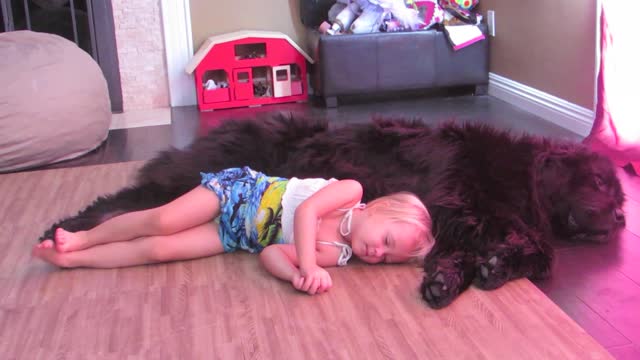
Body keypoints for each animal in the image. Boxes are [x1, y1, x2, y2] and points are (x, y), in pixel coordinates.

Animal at [40, 116, 624, 308]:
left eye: (621, 201)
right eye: (601, 184)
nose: (620, 220)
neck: (520, 172)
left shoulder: (459, 215)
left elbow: (512, 250)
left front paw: (460, 277)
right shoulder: (466, 201)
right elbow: (540, 249)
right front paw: (495, 264)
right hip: (188, 182)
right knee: (119, 204)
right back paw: (61, 229)